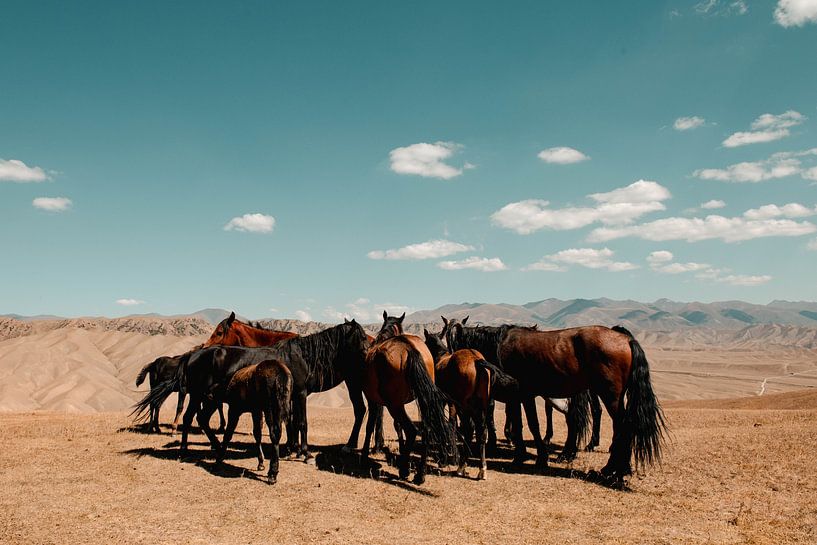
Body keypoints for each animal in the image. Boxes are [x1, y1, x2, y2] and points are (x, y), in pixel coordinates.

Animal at [133, 320, 370, 462]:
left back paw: (212, 447)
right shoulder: (300, 394)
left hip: (206, 398)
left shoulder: (293, 396)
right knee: (191, 417)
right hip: (200, 396)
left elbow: (293, 423)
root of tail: (192, 356)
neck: (303, 356)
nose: (369, 350)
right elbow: (301, 422)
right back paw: (186, 450)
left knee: (198, 418)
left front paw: (294, 450)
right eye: (360, 336)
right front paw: (304, 453)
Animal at [360, 313, 456, 485]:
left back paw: (404, 470)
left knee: (411, 430)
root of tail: (410, 348)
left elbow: (371, 425)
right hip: (421, 400)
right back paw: (420, 475)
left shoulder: (373, 400)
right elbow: (396, 426)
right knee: (426, 428)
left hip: (394, 405)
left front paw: (364, 457)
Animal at [423, 329, 519, 480]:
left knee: (469, 430)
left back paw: (461, 467)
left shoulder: (442, 402)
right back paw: (482, 469)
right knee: (482, 433)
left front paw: (443, 459)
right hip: (482, 406)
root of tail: (476, 360)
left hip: (465, 406)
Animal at [446, 317, 666, 482]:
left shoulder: (522, 395)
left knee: (622, 427)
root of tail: (625, 339)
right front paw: (528, 454)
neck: (500, 345)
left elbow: (529, 424)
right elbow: (522, 424)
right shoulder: (521, 397)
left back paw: (613, 469)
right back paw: (617, 468)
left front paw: (530, 457)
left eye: (453, 342)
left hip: (610, 396)